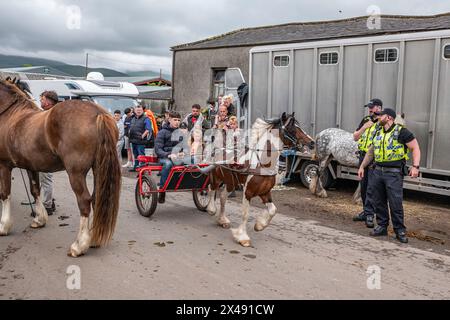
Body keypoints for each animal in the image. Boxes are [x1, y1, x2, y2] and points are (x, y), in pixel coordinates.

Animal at [0, 78, 121, 258]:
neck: (11, 116)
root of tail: (98, 113)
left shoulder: (4, 166)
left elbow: (5, 194)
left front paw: (4, 226)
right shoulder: (31, 166)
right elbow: (35, 190)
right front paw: (39, 219)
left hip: (75, 173)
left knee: (84, 201)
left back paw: (79, 245)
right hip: (99, 169)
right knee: (96, 198)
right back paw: (93, 239)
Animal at [203, 112, 312, 248]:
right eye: (292, 128)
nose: (312, 142)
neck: (262, 163)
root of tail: (217, 148)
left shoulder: (265, 192)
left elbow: (273, 210)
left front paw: (260, 225)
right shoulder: (248, 192)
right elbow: (245, 214)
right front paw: (242, 237)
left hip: (231, 182)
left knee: (222, 197)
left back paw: (223, 220)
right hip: (216, 178)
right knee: (211, 190)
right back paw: (211, 209)